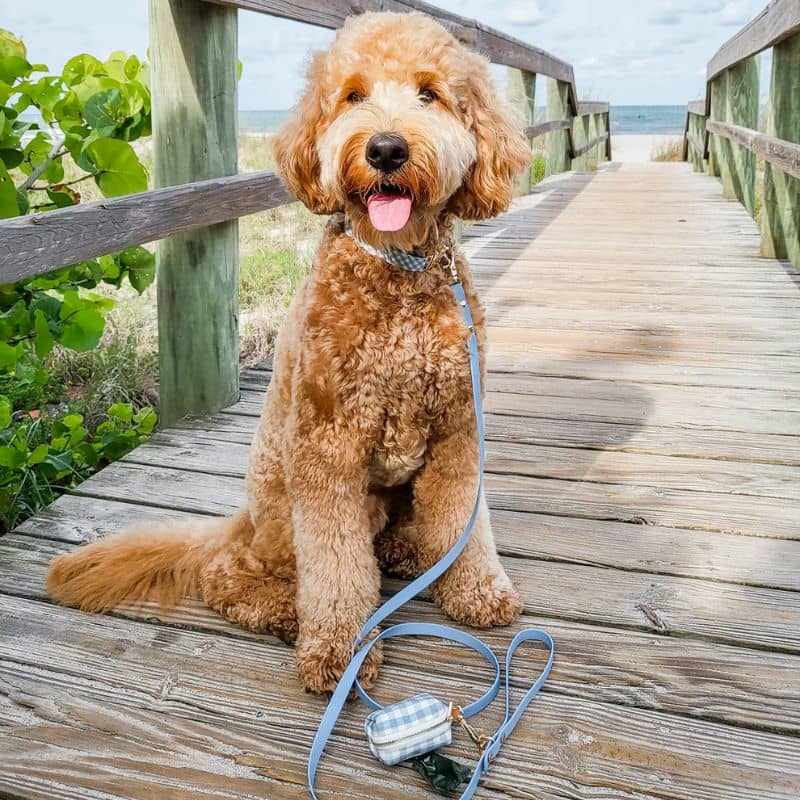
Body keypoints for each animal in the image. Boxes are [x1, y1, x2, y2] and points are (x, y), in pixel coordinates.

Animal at [43, 9, 532, 692]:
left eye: (429, 94)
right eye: (352, 96)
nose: (385, 149)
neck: (397, 271)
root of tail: (243, 521)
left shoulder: (459, 429)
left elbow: (466, 519)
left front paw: (478, 591)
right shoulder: (326, 447)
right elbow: (334, 566)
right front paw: (340, 649)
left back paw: (407, 552)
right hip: (280, 502)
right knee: (231, 575)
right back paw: (288, 613)